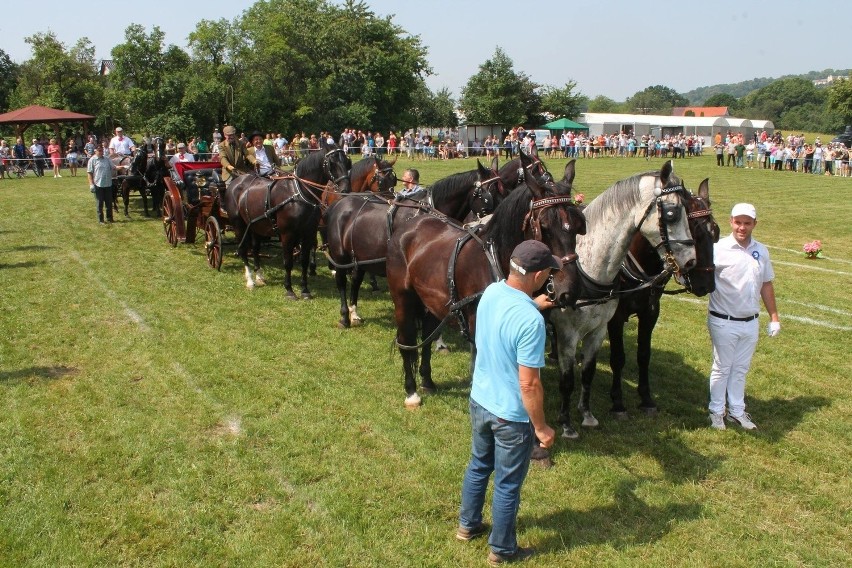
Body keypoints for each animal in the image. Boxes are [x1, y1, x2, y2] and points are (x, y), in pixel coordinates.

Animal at [223, 145, 352, 298]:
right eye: (331, 163)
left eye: (347, 162)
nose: (345, 189)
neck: (299, 193)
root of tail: (236, 182)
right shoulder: (287, 234)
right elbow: (288, 262)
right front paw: (289, 290)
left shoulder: (308, 233)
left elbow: (304, 261)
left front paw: (305, 290)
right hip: (239, 225)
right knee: (243, 249)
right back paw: (250, 280)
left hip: (255, 225)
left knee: (255, 249)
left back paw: (259, 276)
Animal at [322, 160, 502, 328]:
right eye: (491, 192)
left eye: (503, 189)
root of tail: (338, 204)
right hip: (340, 257)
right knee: (341, 282)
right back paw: (345, 317)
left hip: (359, 257)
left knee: (356, 281)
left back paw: (354, 313)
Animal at [386, 151, 584, 408]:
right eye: (544, 226)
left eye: (577, 226)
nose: (570, 289)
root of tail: (410, 225)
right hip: (403, 298)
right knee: (406, 341)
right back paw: (411, 391)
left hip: (431, 301)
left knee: (427, 338)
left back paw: (427, 380)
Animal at [544, 160, 700, 440]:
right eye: (672, 213)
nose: (691, 261)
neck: (590, 265)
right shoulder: (569, 332)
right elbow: (568, 379)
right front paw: (566, 422)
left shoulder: (599, 329)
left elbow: (588, 373)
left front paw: (586, 413)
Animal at [604, 178, 720, 418]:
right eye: (693, 232)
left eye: (716, 232)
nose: (707, 284)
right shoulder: (615, 316)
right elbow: (618, 358)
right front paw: (618, 401)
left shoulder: (651, 312)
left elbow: (643, 354)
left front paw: (646, 398)